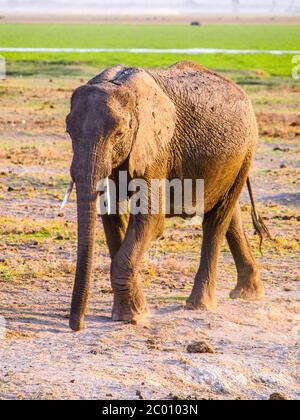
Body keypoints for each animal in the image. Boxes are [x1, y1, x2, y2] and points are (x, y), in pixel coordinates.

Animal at [65, 61, 270, 332]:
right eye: (68, 131)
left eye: (119, 134)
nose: (77, 326)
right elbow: (112, 216)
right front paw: (132, 312)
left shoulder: (156, 150)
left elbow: (151, 220)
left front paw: (133, 317)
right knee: (229, 212)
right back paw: (248, 293)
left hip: (246, 151)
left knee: (217, 220)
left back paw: (198, 305)